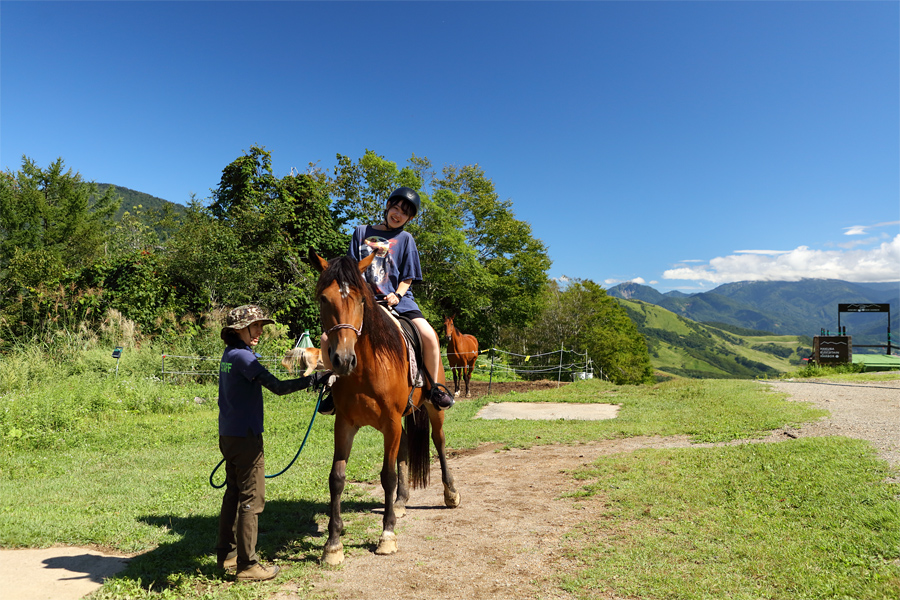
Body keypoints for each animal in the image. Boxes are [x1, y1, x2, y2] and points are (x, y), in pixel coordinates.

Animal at [312, 251, 464, 564]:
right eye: (323, 298)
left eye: (361, 299)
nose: (343, 359)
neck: (365, 369)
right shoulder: (345, 424)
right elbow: (337, 478)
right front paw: (333, 544)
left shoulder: (391, 423)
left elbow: (387, 475)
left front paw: (387, 535)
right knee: (405, 447)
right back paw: (402, 501)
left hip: (434, 409)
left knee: (439, 442)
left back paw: (450, 493)